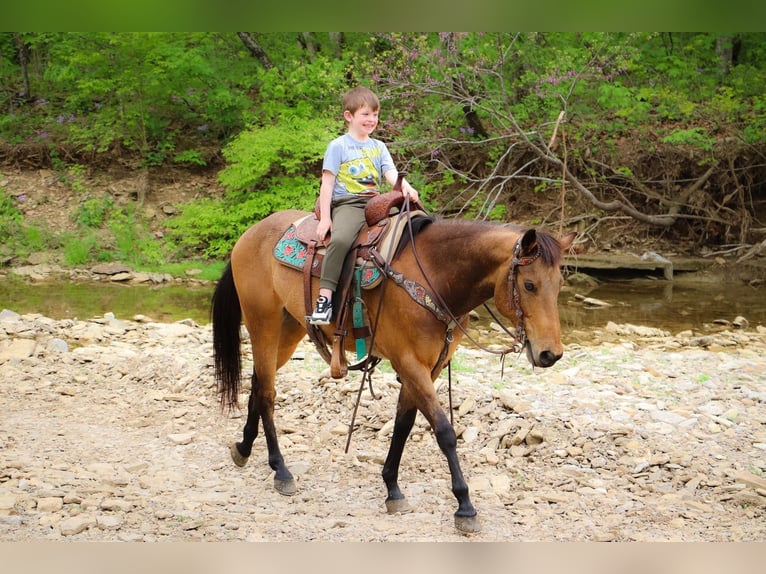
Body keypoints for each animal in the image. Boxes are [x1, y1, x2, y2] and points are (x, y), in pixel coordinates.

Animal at [210, 208, 576, 536]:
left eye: (559, 284)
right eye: (529, 285)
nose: (551, 354)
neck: (435, 276)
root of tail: (249, 234)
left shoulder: (426, 368)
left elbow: (404, 424)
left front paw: (392, 488)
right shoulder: (410, 363)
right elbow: (444, 432)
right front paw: (465, 506)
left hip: (289, 329)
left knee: (259, 382)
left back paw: (244, 447)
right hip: (264, 323)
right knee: (268, 393)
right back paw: (281, 469)